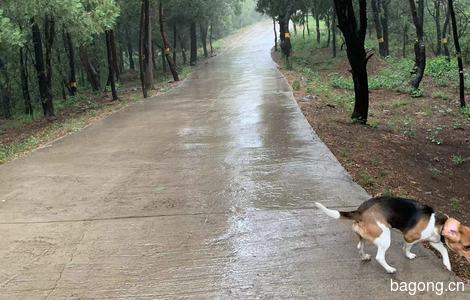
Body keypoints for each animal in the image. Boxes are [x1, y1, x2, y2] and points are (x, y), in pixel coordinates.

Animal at [316, 197, 470, 274]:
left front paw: (447, 265)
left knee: (360, 246)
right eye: (467, 247)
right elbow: (407, 246)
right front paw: (408, 254)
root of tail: (360, 211)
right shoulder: (410, 237)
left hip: (364, 237)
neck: (439, 224)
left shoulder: (434, 241)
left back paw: (364, 257)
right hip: (385, 237)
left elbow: (444, 250)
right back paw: (389, 269)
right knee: (379, 257)